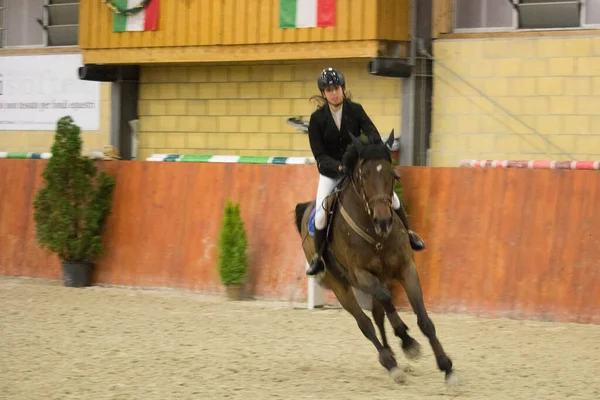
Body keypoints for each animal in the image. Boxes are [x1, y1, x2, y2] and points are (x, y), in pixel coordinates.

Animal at [292, 130, 458, 386]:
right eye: (364, 175)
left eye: (393, 175)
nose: (383, 221)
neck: (375, 233)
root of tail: (307, 207)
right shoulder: (361, 275)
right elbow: (386, 301)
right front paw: (407, 341)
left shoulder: (406, 268)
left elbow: (424, 320)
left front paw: (446, 367)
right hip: (340, 286)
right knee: (366, 323)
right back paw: (390, 363)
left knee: (378, 315)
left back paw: (392, 355)